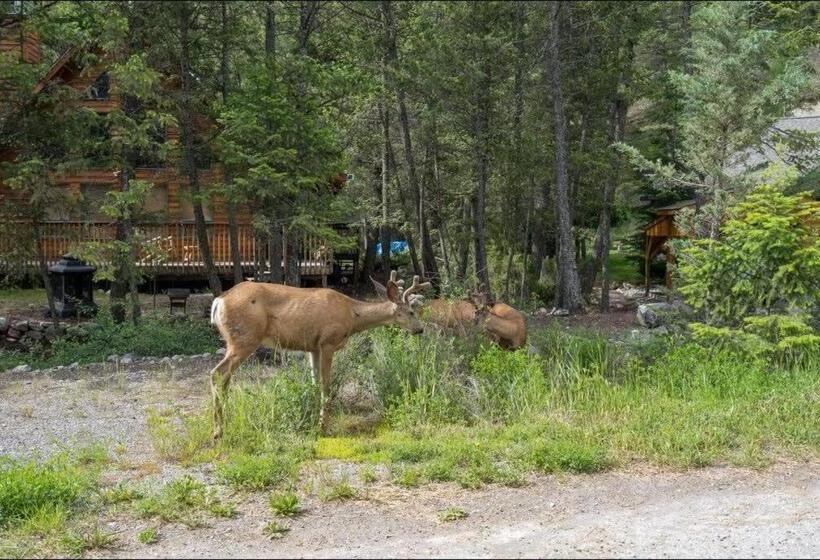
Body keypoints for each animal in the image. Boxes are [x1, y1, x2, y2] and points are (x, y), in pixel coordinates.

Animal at [208, 271, 430, 440]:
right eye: (411, 312)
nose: (420, 329)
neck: (352, 315)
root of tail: (219, 301)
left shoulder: (312, 348)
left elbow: (314, 384)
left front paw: (312, 421)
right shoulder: (327, 342)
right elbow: (326, 385)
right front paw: (323, 427)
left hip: (234, 340)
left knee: (224, 377)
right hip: (245, 338)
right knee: (217, 373)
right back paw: (218, 431)